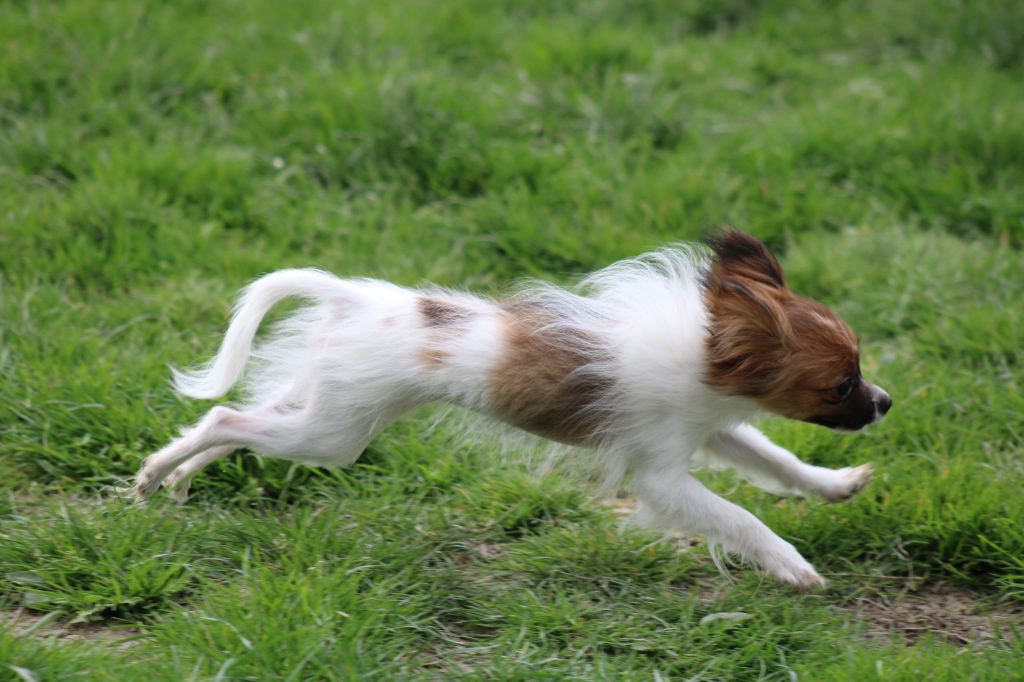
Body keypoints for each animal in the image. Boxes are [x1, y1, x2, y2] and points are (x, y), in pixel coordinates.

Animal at [134, 231, 888, 585]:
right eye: (841, 384)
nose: (884, 403)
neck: (705, 357)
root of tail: (355, 298)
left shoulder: (711, 431)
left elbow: (778, 461)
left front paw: (835, 485)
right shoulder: (663, 476)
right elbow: (738, 517)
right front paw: (791, 565)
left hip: (315, 408)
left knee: (237, 425)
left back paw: (178, 477)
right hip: (333, 436)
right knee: (227, 420)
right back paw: (151, 479)